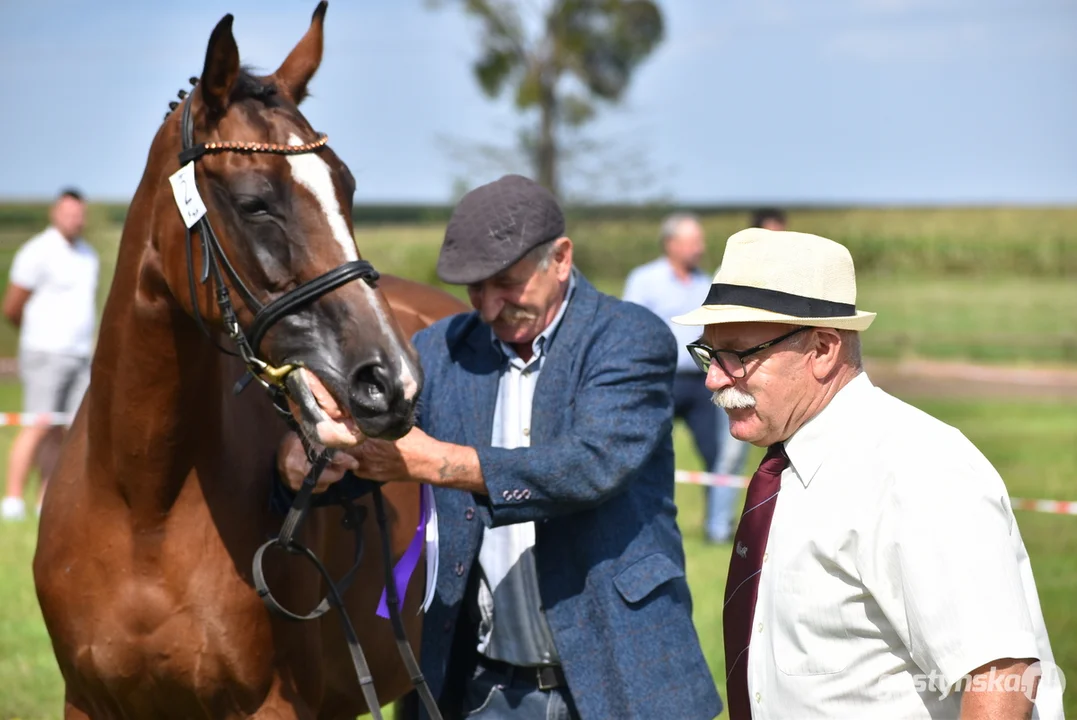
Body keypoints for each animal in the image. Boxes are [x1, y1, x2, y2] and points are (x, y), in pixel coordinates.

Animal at [32, 2, 463, 714]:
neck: (143, 506)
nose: (390, 382)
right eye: (255, 202)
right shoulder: (87, 701)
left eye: (347, 188)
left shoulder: (274, 704)